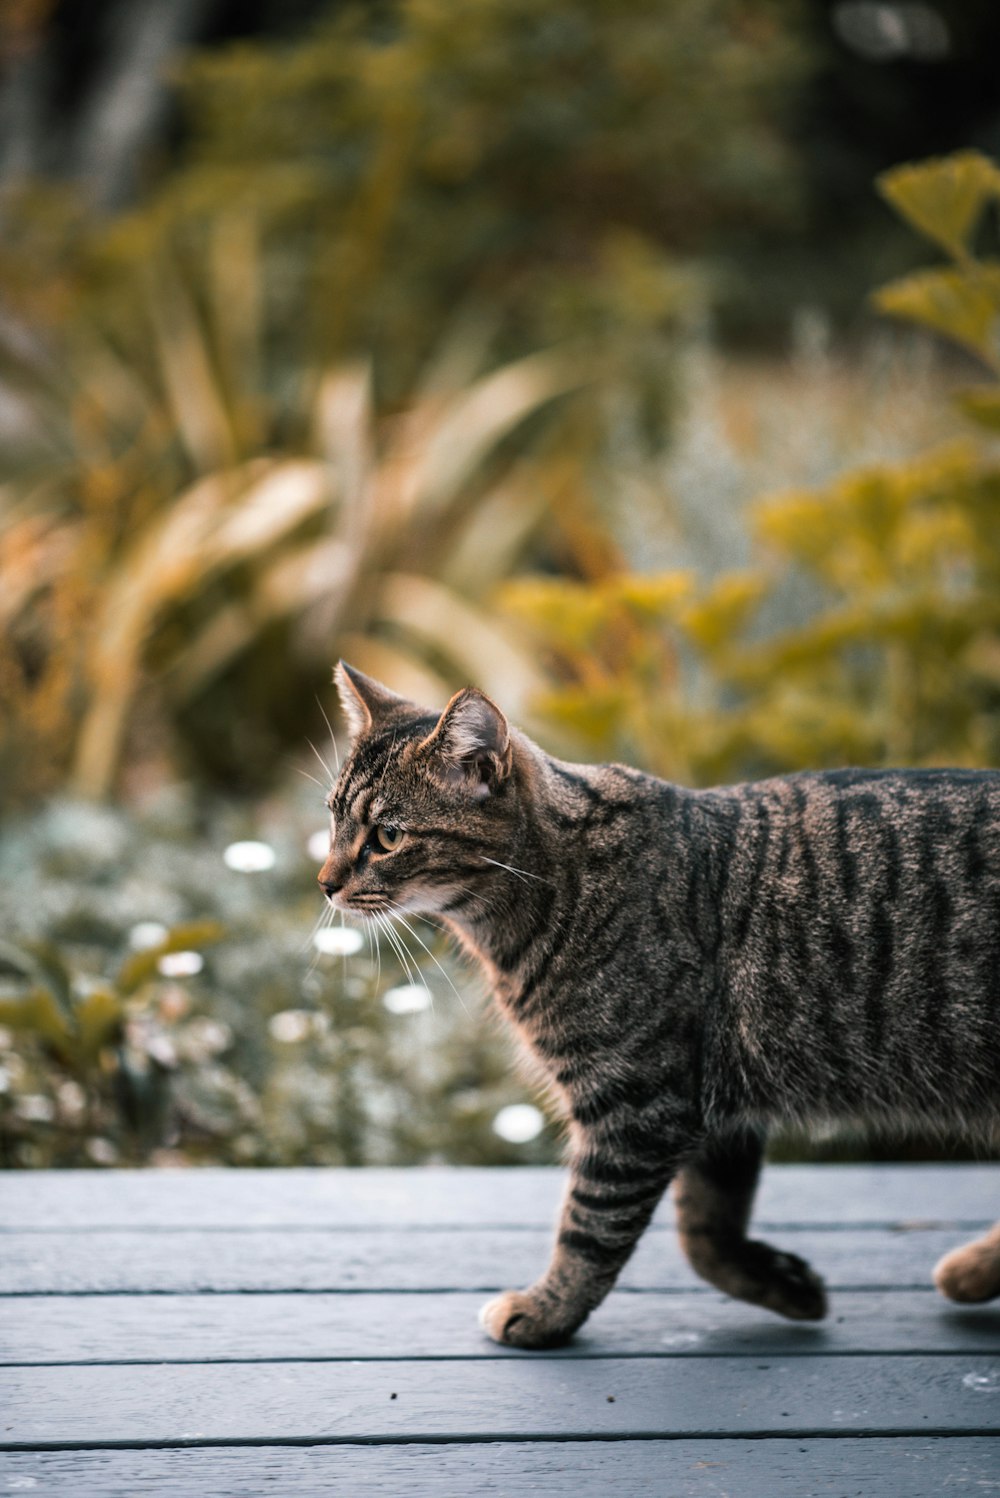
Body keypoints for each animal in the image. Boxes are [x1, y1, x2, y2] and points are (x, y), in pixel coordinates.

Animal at [315, 662, 999, 1354]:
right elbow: (704, 1234)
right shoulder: (714, 1110)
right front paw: (782, 1284)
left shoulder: (638, 1104)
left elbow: (590, 1228)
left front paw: (547, 1310)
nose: (324, 883)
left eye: (387, 836)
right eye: (333, 821)